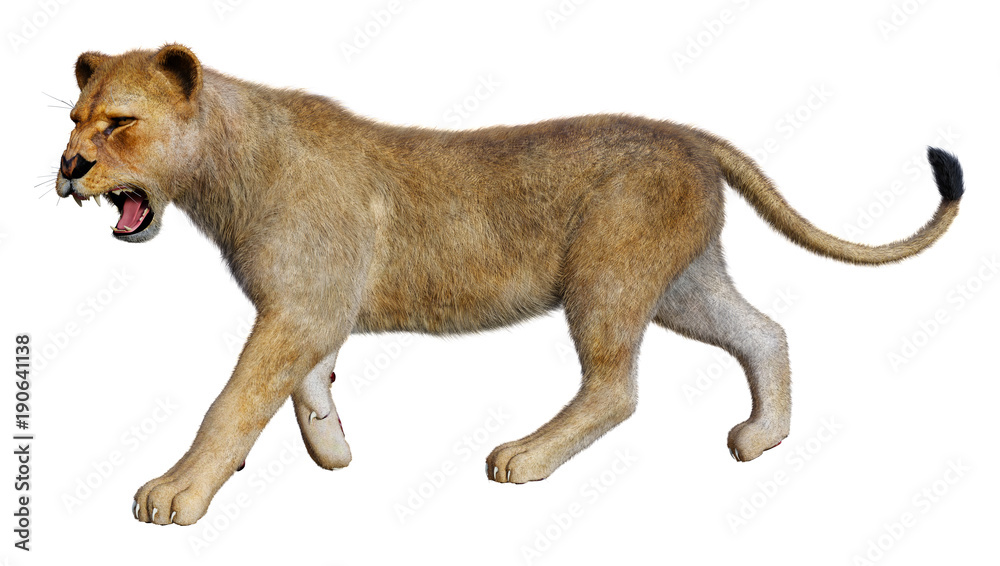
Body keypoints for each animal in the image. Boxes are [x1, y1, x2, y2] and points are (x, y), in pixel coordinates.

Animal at [55, 44, 964, 526]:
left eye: (120, 122)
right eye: (72, 119)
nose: (68, 169)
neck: (219, 168)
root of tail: (686, 133)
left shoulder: (299, 306)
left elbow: (234, 401)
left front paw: (176, 494)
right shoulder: (314, 310)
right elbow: (307, 386)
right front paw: (334, 452)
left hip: (607, 277)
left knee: (616, 389)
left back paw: (525, 458)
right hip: (681, 284)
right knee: (764, 332)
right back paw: (761, 438)